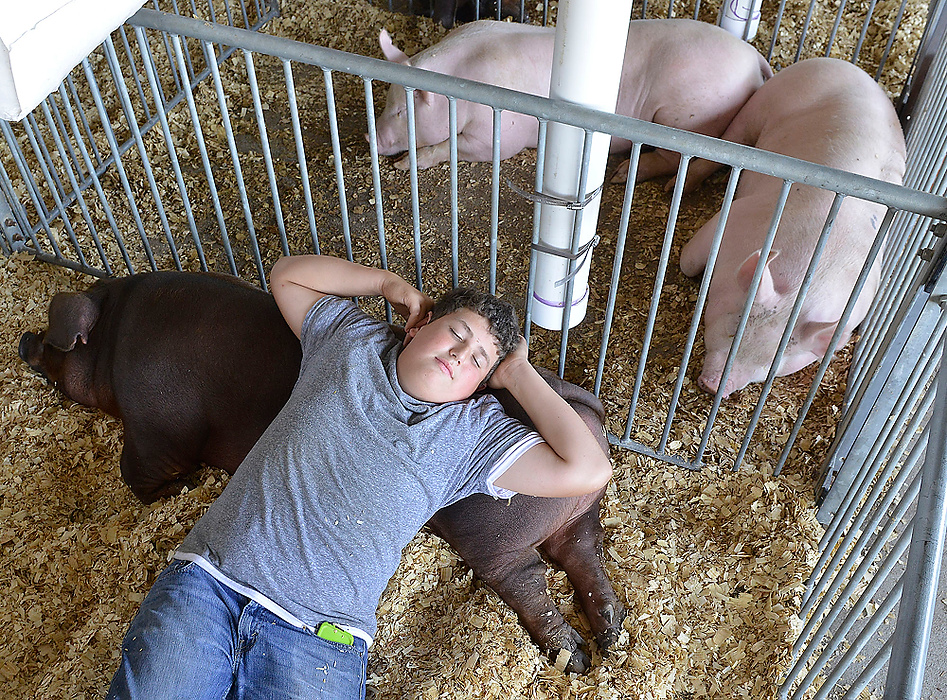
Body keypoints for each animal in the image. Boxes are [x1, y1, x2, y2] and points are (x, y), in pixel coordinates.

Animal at [370, 18, 772, 174]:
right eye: (386, 101)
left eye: (402, 112)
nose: (369, 137)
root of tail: (754, 58)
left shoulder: (500, 135)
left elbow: (457, 147)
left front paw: (403, 165)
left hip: (686, 117)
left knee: (675, 160)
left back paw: (623, 175)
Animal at [676, 58, 908, 400]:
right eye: (732, 330)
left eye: (768, 366)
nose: (713, 384)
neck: (810, 277)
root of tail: (847, 65)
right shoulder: (738, 216)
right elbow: (688, 261)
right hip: (763, 103)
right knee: (729, 140)